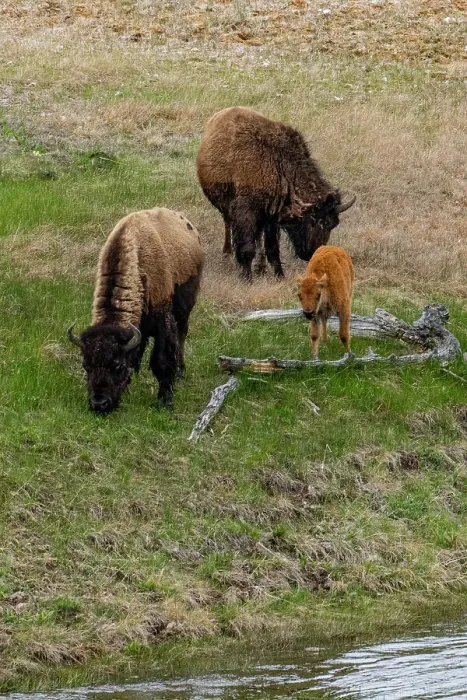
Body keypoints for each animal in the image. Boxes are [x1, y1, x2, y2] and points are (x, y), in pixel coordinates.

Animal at [67, 207, 204, 414]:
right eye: (86, 365)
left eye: (117, 365)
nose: (99, 404)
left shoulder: (163, 320)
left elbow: (161, 360)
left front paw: (165, 402)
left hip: (185, 308)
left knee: (181, 335)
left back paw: (181, 372)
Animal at [197, 106, 355, 282]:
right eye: (314, 221)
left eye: (333, 224)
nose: (312, 254)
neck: (277, 163)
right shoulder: (246, 212)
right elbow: (247, 247)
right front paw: (247, 278)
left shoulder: (271, 216)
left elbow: (272, 248)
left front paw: (280, 275)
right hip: (226, 206)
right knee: (228, 223)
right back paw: (228, 253)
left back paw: (261, 267)